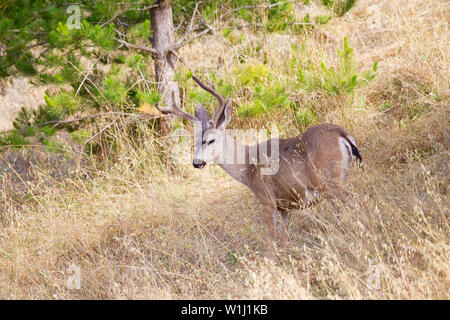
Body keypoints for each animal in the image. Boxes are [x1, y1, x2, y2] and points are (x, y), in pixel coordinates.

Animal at [156, 76, 362, 244]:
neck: (248, 165)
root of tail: (341, 133)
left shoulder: (266, 199)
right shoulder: (285, 206)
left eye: (211, 140)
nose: (197, 162)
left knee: (354, 199)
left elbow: (271, 240)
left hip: (329, 181)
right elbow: (285, 239)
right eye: (194, 143)